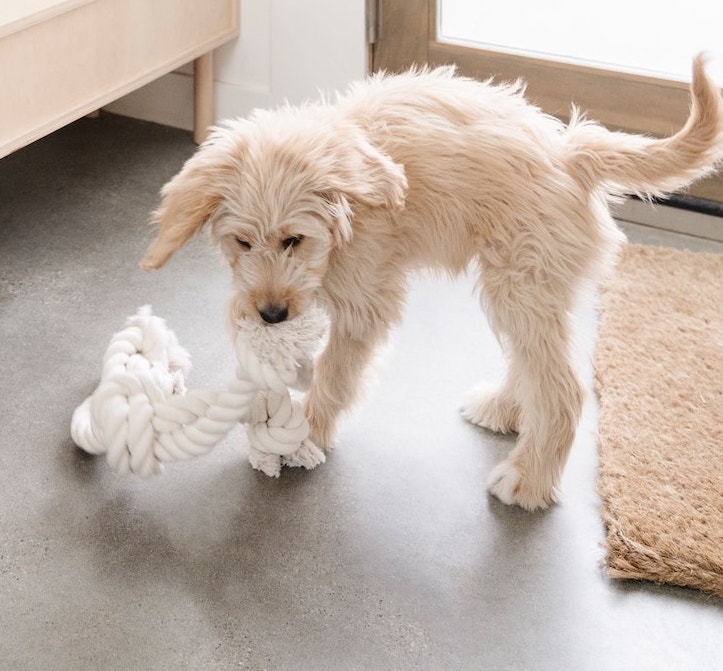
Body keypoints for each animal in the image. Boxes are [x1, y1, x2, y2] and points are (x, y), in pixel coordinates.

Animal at [143, 57, 723, 510]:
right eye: (241, 242)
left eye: (293, 240)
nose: (270, 315)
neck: (344, 210)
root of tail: (570, 153)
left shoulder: (365, 302)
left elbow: (334, 372)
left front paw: (305, 432)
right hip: (526, 287)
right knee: (534, 366)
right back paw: (507, 409)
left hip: (519, 282)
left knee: (562, 390)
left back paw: (528, 479)